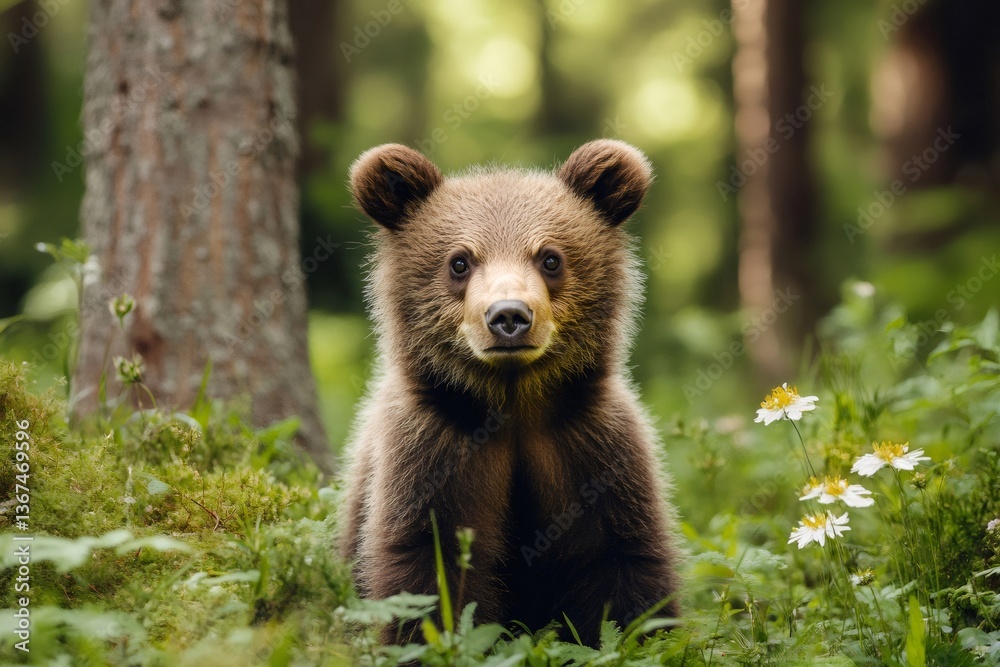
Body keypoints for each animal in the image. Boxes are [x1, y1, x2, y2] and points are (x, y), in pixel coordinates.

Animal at [338, 139, 680, 647]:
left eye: (550, 258)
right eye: (460, 261)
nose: (508, 315)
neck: (514, 405)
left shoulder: (590, 446)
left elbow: (622, 560)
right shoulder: (435, 451)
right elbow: (428, 564)